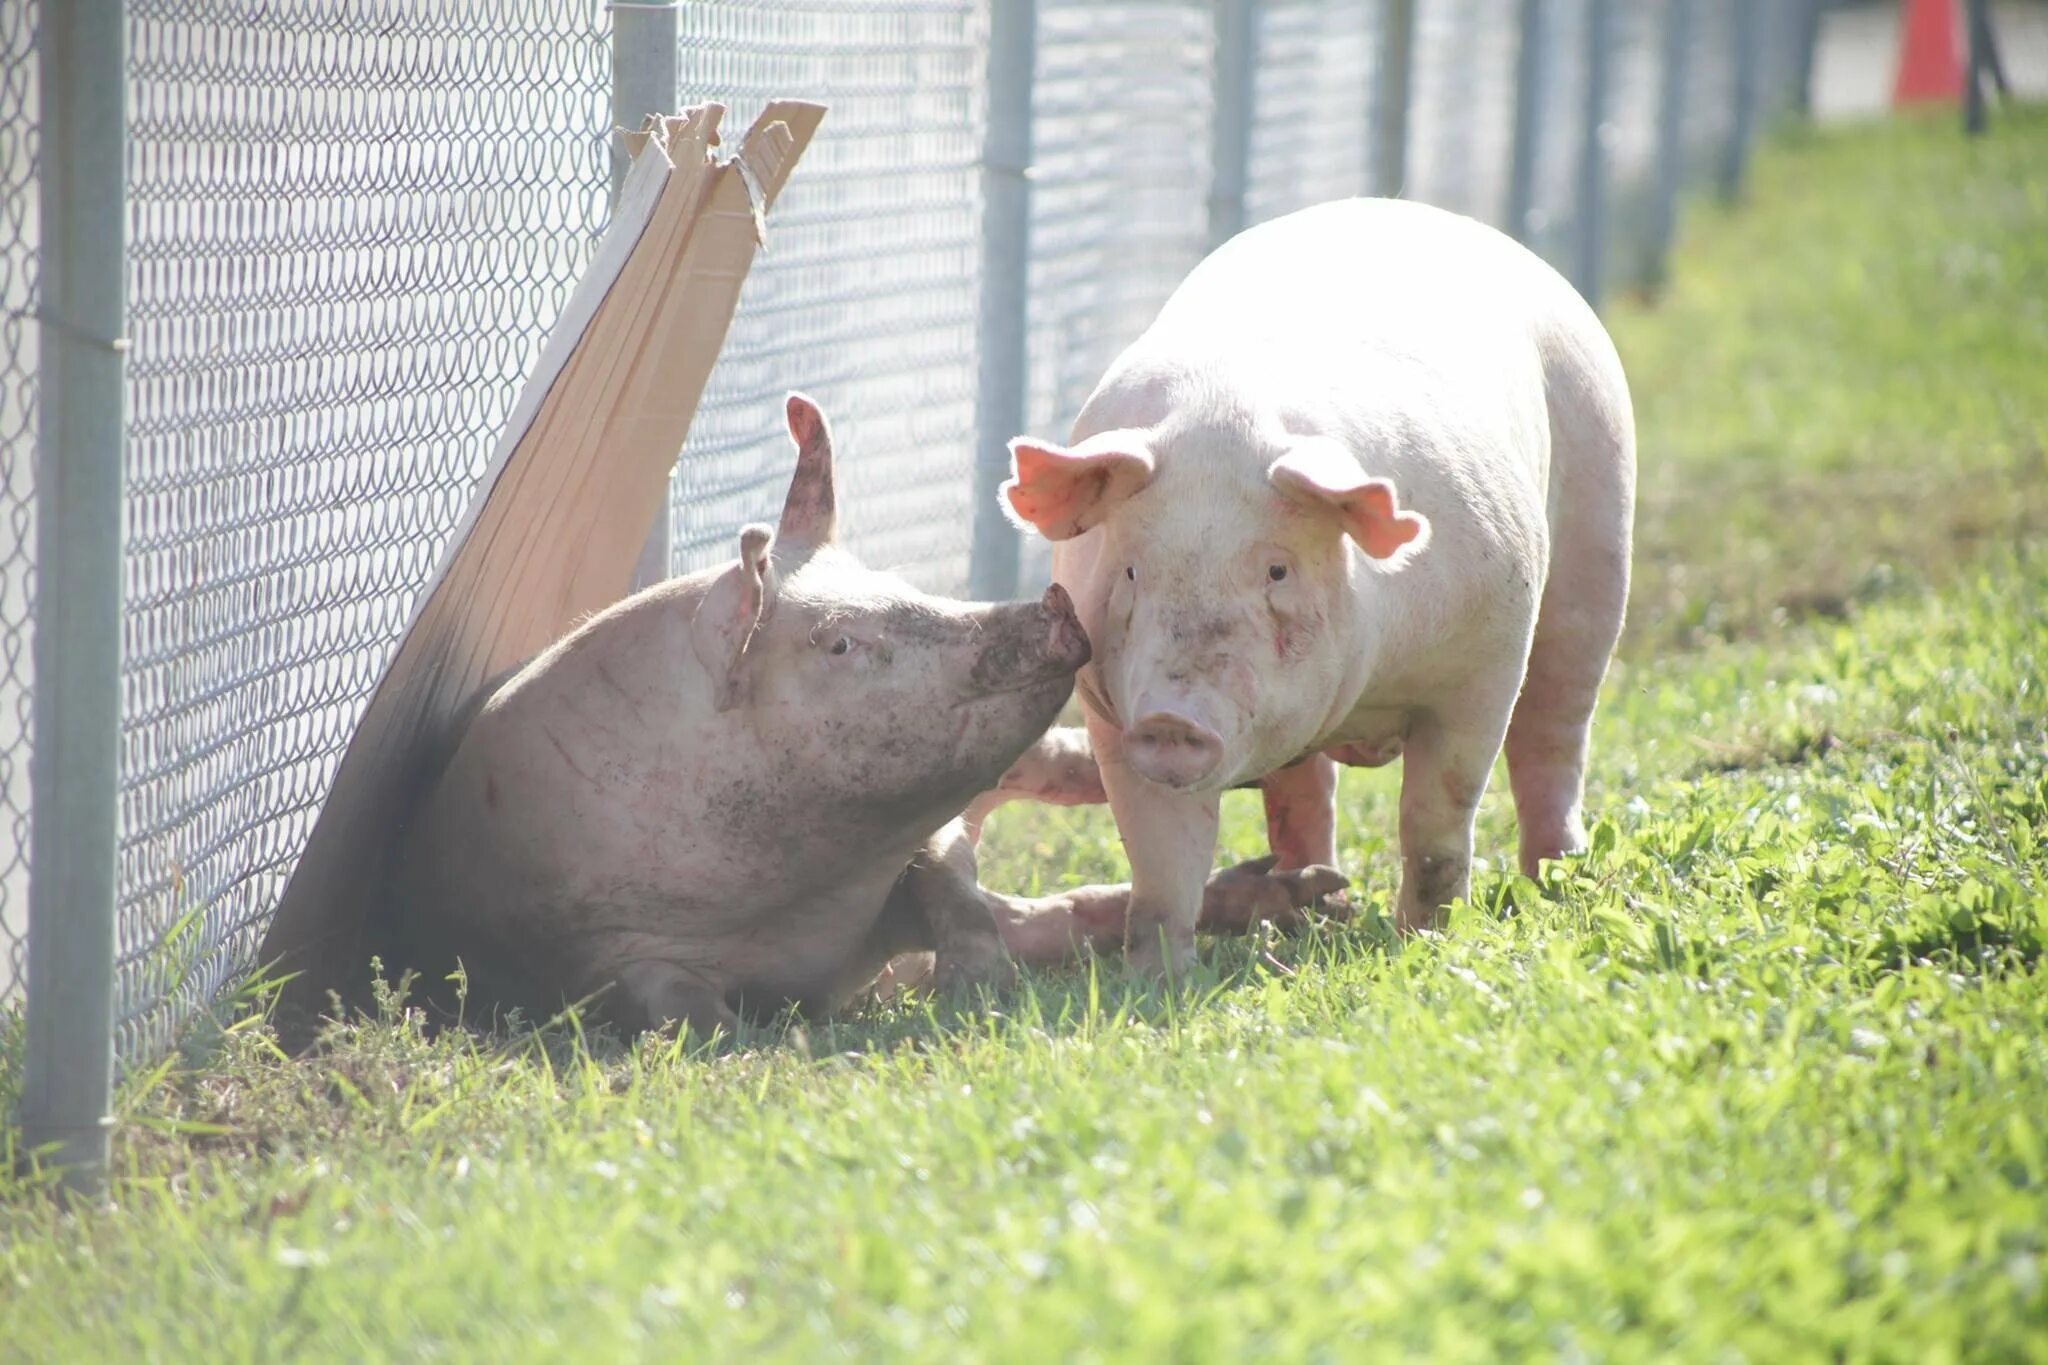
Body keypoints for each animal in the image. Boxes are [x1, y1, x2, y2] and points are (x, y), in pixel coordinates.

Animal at [376, 392, 1097, 1035]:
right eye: (840, 642)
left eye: (900, 583)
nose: (1057, 602)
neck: (802, 905)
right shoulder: (602, 953)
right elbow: (677, 1006)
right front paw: (752, 1046)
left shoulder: (919, 845)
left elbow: (954, 883)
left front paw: (982, 994)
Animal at [999, 200, 1638, 970]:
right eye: (1130, 569)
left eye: (1277, 569)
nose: (1172, 720)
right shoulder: (1107, 708)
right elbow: (1161, 859)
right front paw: (1158, 976)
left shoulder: (1484, 659)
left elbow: (1436, 819)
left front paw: (1424, 942)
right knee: (1304, 790)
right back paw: (1316, 908)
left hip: (1599, 527)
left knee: (1556, 727)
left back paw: (1557, 880)